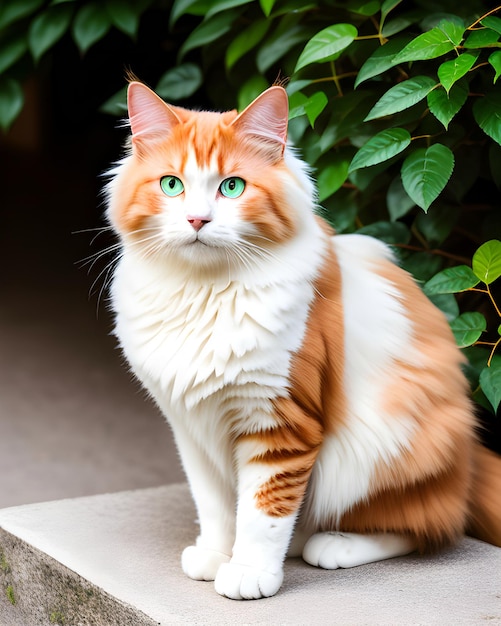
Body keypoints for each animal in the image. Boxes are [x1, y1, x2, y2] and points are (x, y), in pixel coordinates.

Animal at [105, 80, 500, 596]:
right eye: (172, 185)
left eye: (232, 187)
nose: (197, 220)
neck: (203, 292)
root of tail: (470, 458)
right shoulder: (191, 424)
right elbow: (214, 505)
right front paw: (216, 555)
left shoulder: (279, 421)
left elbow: (262, 512)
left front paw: (250, 574)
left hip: (386, 449)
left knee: (425, 528)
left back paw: (332, 546)